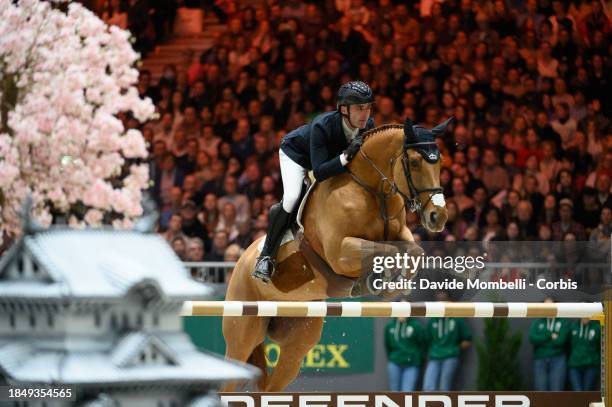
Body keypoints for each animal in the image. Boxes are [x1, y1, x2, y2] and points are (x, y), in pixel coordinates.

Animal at [220, 118, 450, 392]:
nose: (438, 217)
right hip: (242, 335)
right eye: (414, 162)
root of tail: (240, 263)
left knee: (272, 385)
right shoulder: (340, 252)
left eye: (440, 162)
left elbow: (414, 251)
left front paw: (393, 285)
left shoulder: (400, 233)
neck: (372, 189)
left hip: (298, 339)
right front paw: (380, 281)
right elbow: (387, 251)